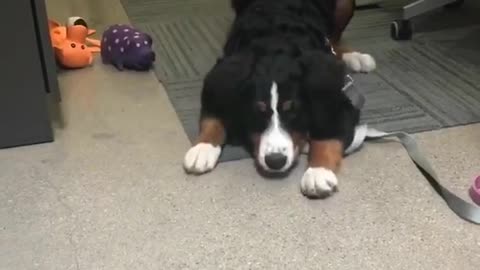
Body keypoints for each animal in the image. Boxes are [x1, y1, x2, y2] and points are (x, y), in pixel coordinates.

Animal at [184, 0, 376, 198]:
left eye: (293, 110)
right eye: (258, 111)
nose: (275, 161)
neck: (276, 43)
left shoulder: (337, 97)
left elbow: (327, 135)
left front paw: (318, 172)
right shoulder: (219, 80)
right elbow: (214, 118)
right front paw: (202, 148)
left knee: (335, 39)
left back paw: (355, 57)